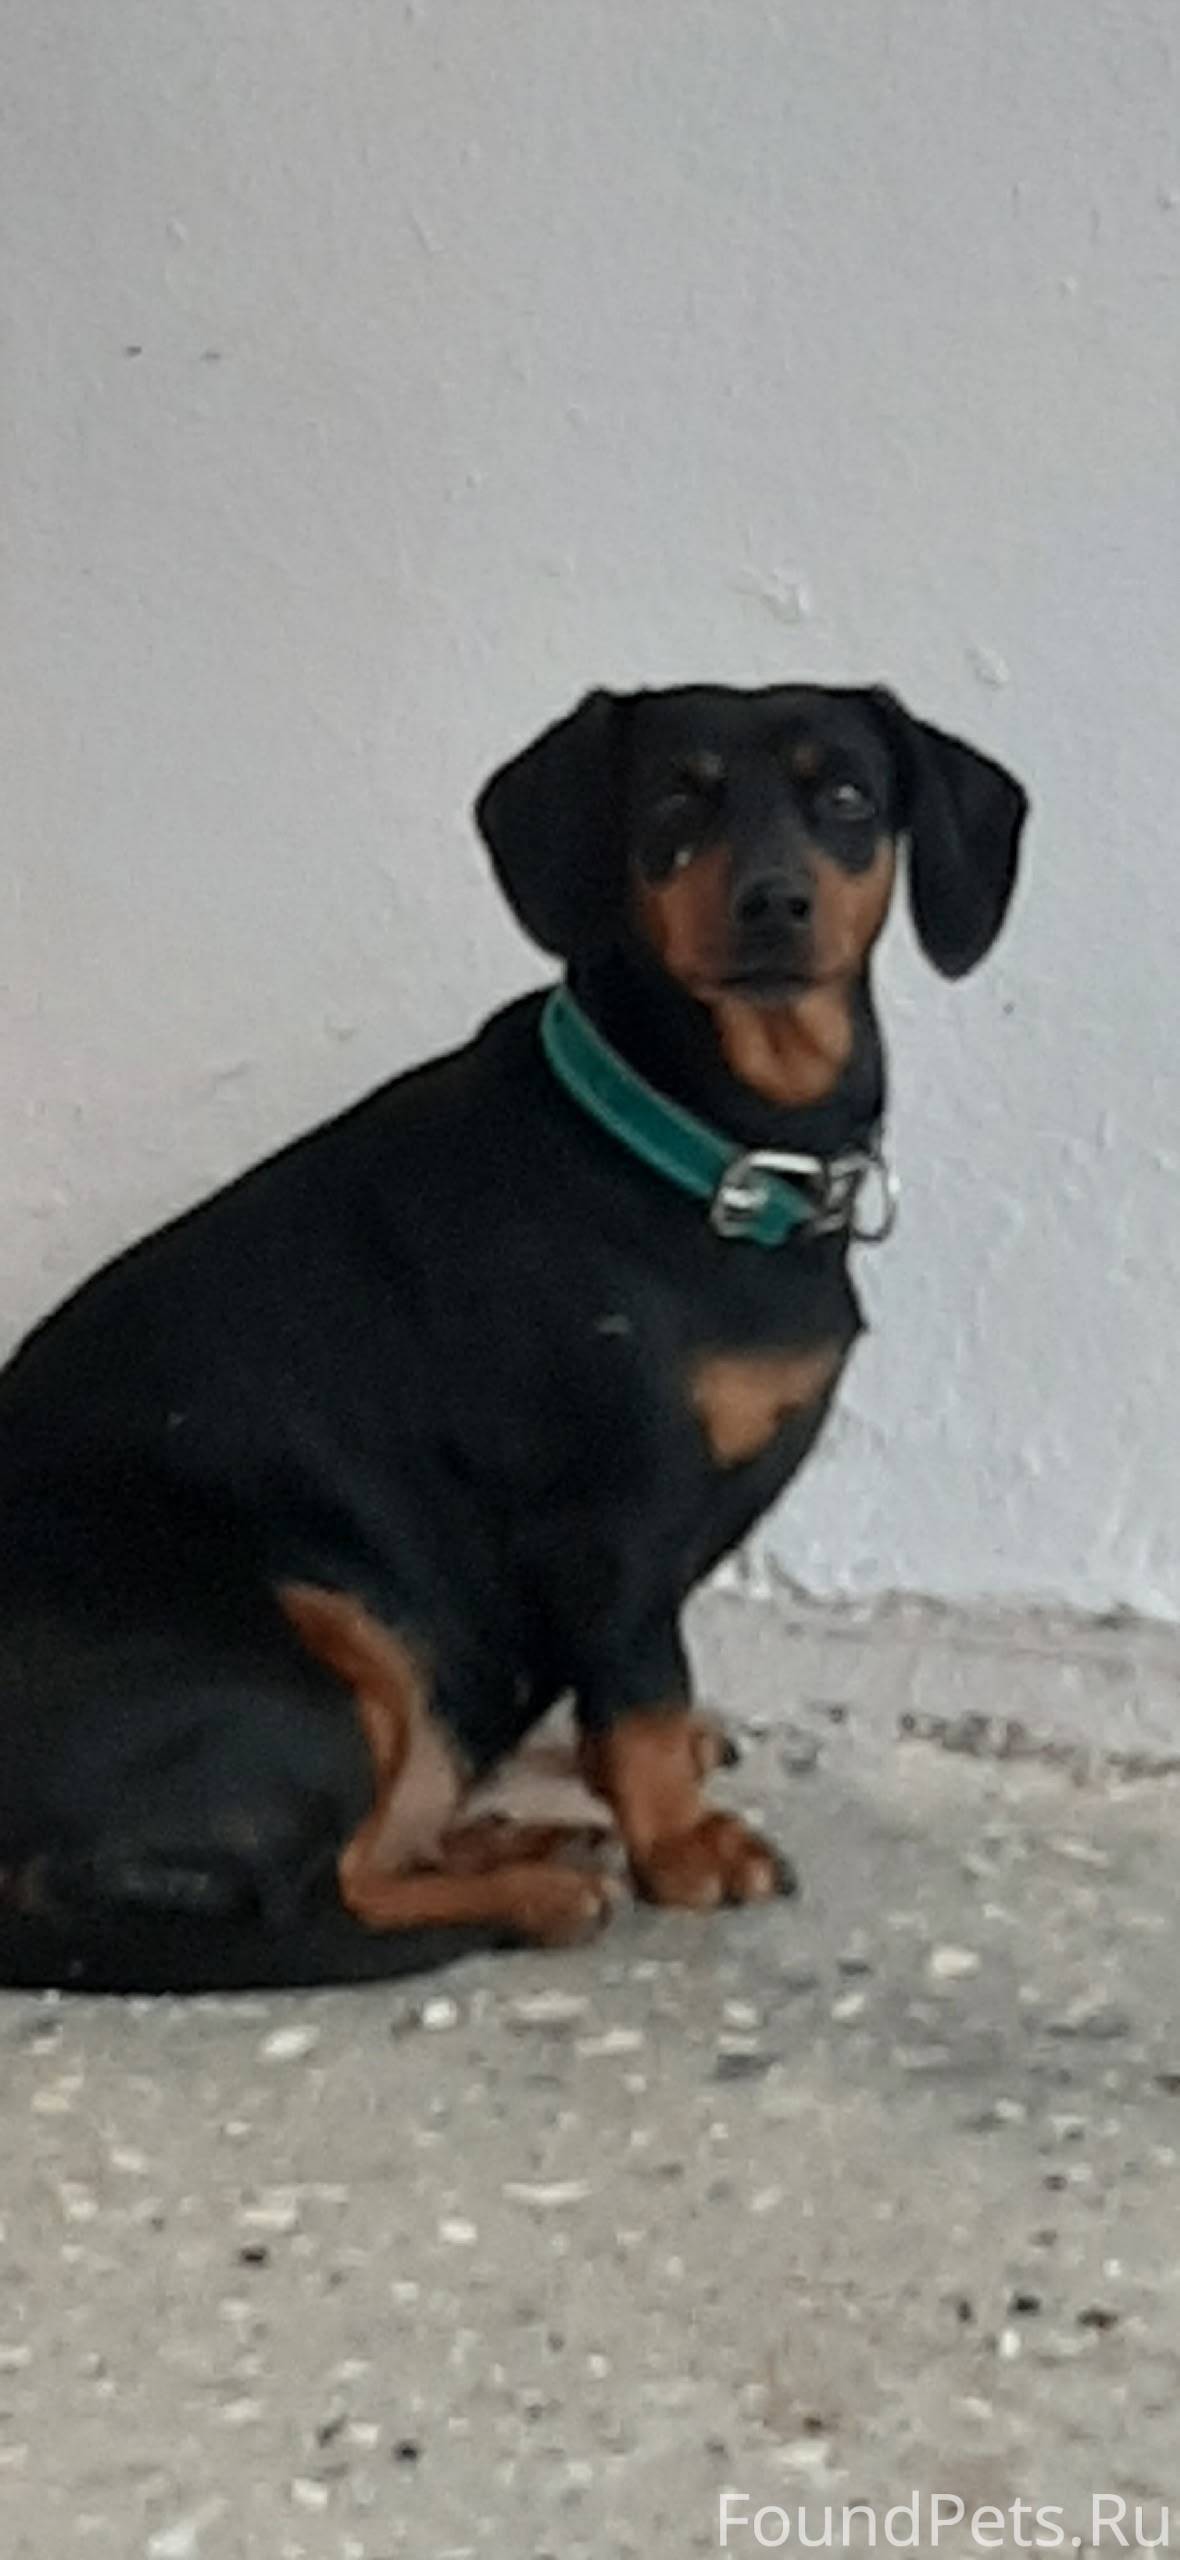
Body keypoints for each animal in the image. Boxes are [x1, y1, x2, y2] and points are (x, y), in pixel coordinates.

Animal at [0, 683, 1027, 1990]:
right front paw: (681, 1846)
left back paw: (504, 1839)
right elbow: (642, 1693)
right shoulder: (608, 1520)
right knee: (308, 1895)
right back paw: (526, 1893)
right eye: (673, 801)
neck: (708, 1148)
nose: (772, 903)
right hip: (329, 1653)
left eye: (845, 795)